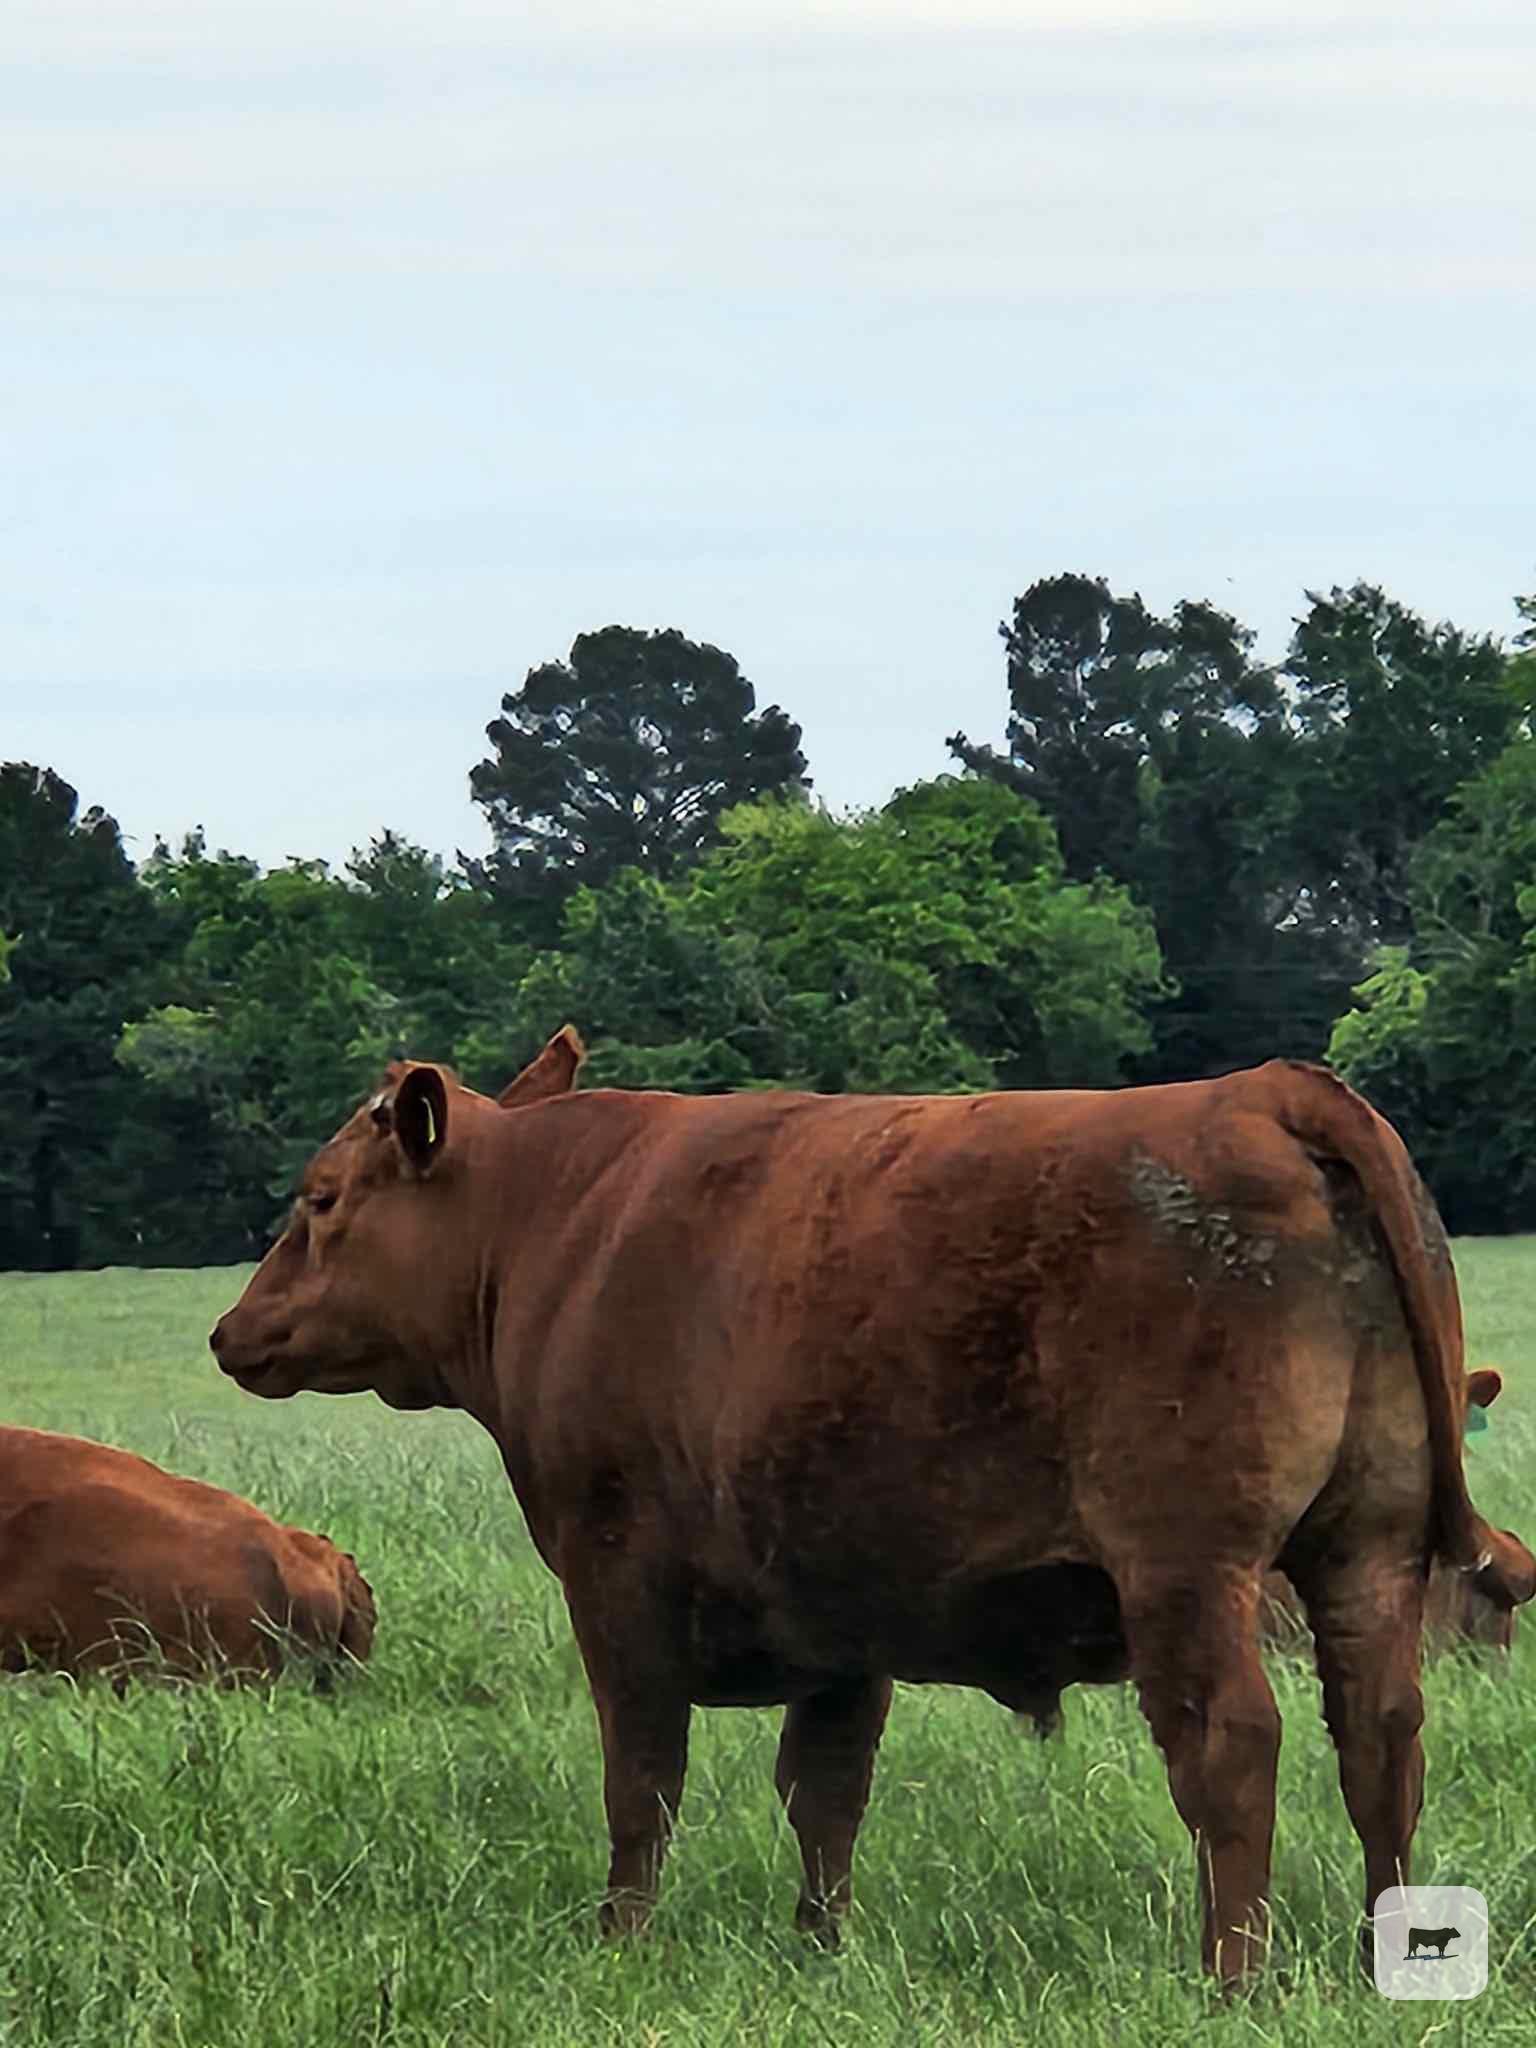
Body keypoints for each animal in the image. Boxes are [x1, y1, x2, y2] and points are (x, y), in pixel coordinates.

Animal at [210, 1028, 1535, 1985]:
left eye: (320, 1197)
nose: (230, 1330)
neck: (560, 1223)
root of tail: (1265, 1090)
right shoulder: (840, 1604)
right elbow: (826, 1789)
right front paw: (819, 1948)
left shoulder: (616, 1578)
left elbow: (643, 1778)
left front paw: (621, 1942)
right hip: (1367, 1548)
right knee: (1382, 1738)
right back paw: (1384, 1955)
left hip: (1190, 1566)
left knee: (1233, 1745)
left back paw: (1232, 1979)